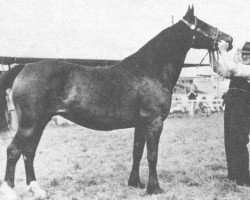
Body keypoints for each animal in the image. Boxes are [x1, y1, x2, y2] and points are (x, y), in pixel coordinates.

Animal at [0, 5, 232, 199]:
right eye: (203, 25)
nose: (229, 40)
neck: (151, 69)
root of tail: (25, 67)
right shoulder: (154, 123)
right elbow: (152, 155)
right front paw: (154, 188)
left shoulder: (141, 124)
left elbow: (137, 152)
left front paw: (135, 183)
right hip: (30, 123)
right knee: (14, 151)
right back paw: (10, 191)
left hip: (39, 123)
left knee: (29, 152)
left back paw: (36, 189)